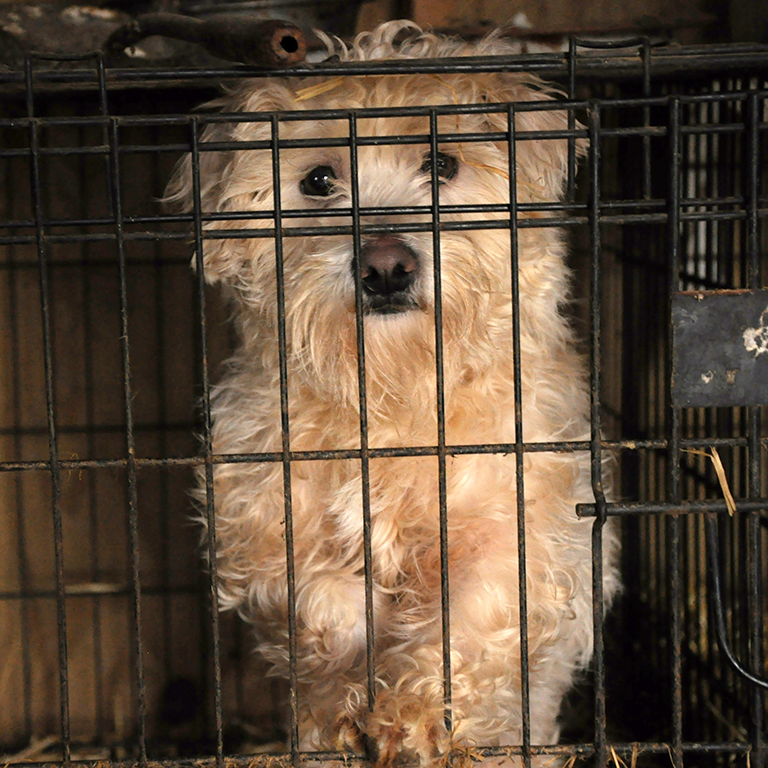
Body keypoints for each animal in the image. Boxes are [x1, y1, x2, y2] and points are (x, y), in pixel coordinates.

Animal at [165, 20, 620, 767]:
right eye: (319, 180)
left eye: (442, 164)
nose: (385, 266)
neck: (388, 393)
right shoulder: (259, 527)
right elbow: (325, 601)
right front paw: (353, 691)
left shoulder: (516, 533)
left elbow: (464, 618)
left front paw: (413, 716)